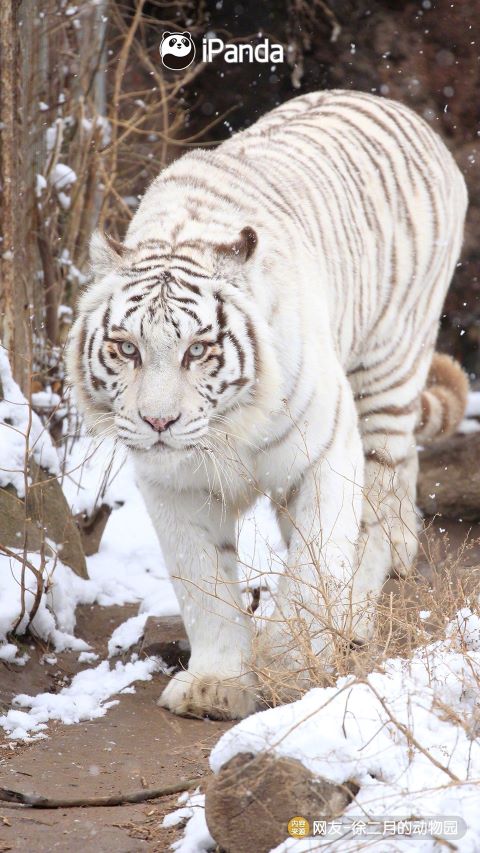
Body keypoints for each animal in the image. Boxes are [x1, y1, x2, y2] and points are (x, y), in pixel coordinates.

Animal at [67, 89, 468, 720]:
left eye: (199, 349)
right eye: (126, 347)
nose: (158, 421)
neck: (225, 432)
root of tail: (394, 106)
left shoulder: (326, 453)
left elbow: (312, 566)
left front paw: (290, 662)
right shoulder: (173, 485)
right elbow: (202, 582)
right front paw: (215, 684)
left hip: (384, 374)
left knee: (377, 503)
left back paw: (355, 610)